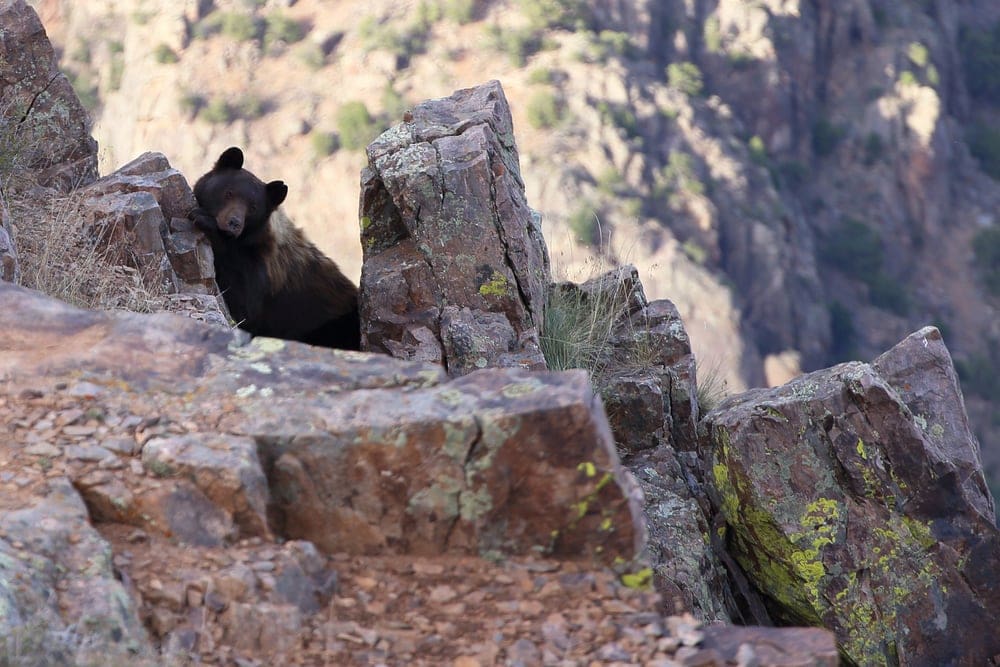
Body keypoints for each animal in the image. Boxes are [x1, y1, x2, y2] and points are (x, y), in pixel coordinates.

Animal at [189, 146, 361, 350]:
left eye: (253, 207)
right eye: (229, 193)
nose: (234, 223)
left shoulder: (265, 269)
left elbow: (245, 306)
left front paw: (204, 220)